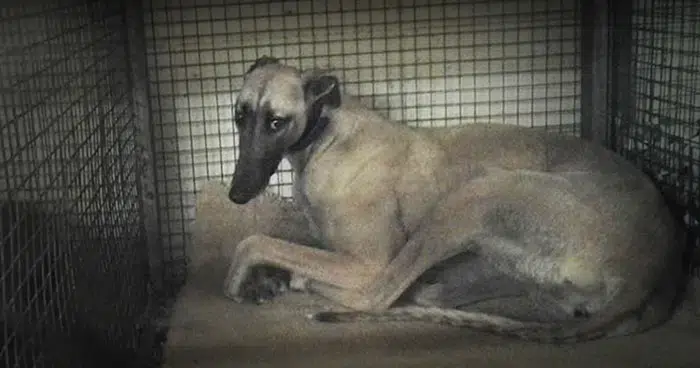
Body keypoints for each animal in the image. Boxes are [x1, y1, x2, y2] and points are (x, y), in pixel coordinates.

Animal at [221, 56, 688, 344]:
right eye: (239, 115)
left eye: (277, 121)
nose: (237, 195)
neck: (327, 135)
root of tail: (655, 269)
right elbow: (287, 249)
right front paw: (266, 282)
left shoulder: (367, 261)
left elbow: (257, 241)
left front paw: (245, 280)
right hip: (500, 263)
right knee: (433, 295)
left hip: (472, 198)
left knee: (377, 296)